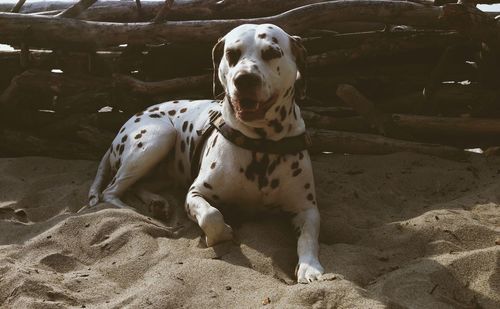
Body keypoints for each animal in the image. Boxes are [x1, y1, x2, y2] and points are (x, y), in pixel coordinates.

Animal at [88, 23, 324, 282]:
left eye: (272, 52)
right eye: (231, 53)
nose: (244, 79)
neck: (260, 146)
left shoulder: (306, 209)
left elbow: (309, 237)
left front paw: (310, 267)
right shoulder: (196, 194)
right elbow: (212, 216)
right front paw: (222, 233)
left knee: (137, 186)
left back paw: (156, 203)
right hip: (157, 138)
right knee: (111, 191)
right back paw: (134, 214)